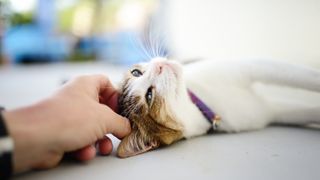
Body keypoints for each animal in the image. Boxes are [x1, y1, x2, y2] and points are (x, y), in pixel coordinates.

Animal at [116, 57, 318, 158]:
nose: (159, 66)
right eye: (149, 96)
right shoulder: (269, 111)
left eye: (136, 72)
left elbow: (305, 75)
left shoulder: (252, 67)